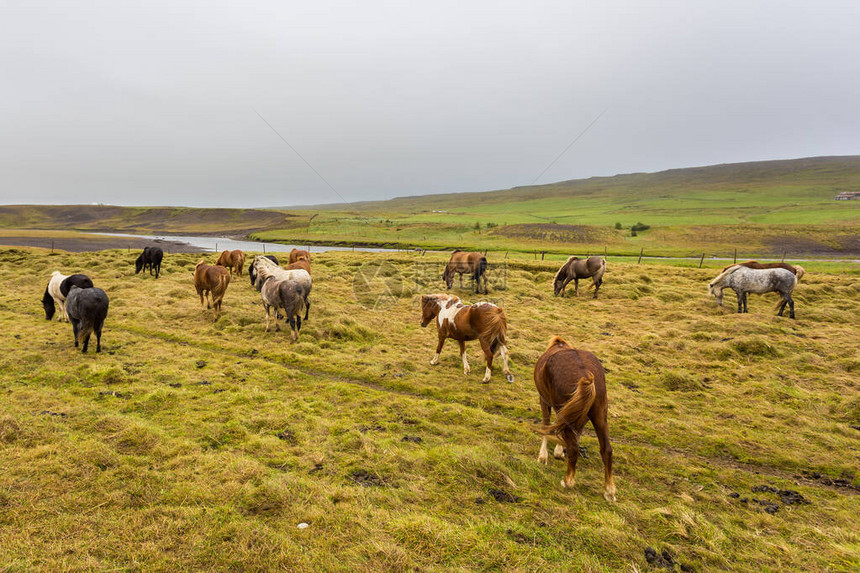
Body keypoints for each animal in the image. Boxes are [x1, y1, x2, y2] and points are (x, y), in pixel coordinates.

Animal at [536, 336, 616, 500]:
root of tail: (585, 374)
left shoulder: (545, 400)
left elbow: (546, 424)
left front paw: (543, 457)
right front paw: (559, 451)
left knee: (573, 447)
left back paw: (567, 481)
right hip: (600, 413)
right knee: (607, 449)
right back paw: (609, 490)